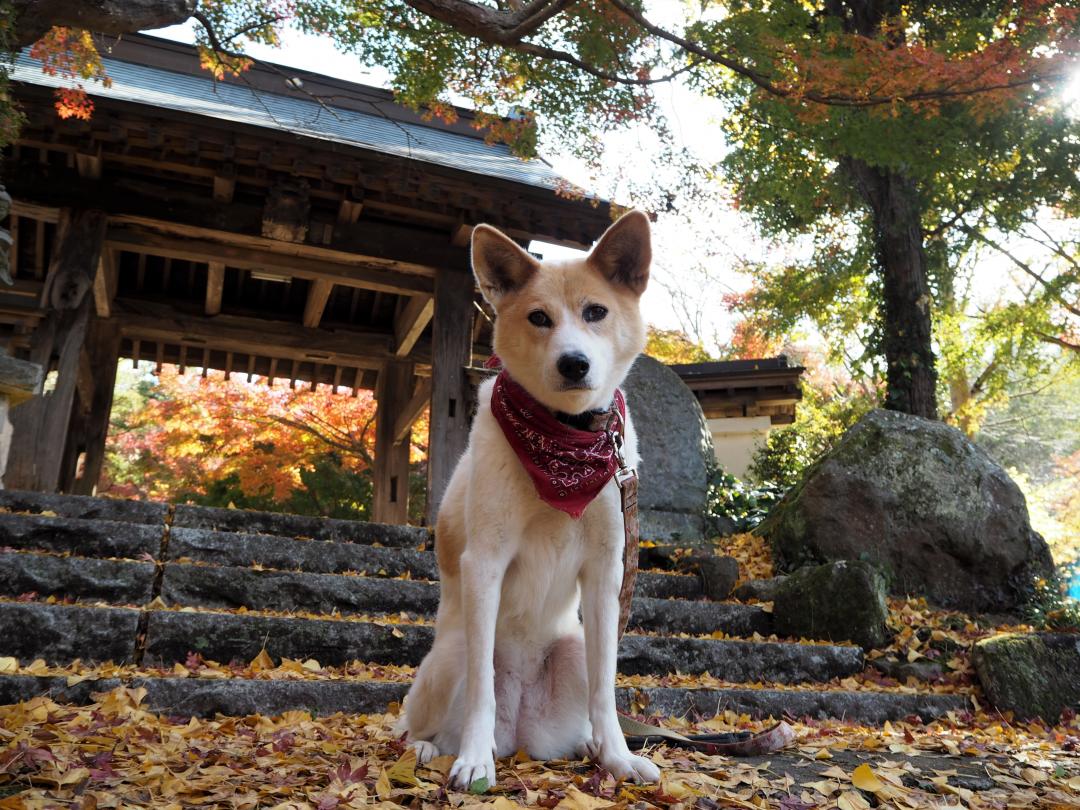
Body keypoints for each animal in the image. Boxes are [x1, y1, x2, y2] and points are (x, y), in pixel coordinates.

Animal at [397, 210, 656, 794]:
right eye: (539, 318)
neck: (566, 438)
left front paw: (619, 757)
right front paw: (474, 761)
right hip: (454, 650)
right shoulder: (485, 561)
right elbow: (480, 694)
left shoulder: (606, 571)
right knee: (414, 722)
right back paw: (430, 748)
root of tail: (520, 735)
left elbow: (606, 692)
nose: (574, 363)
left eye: (596, 312)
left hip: (574, 645)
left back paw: (589, 746)